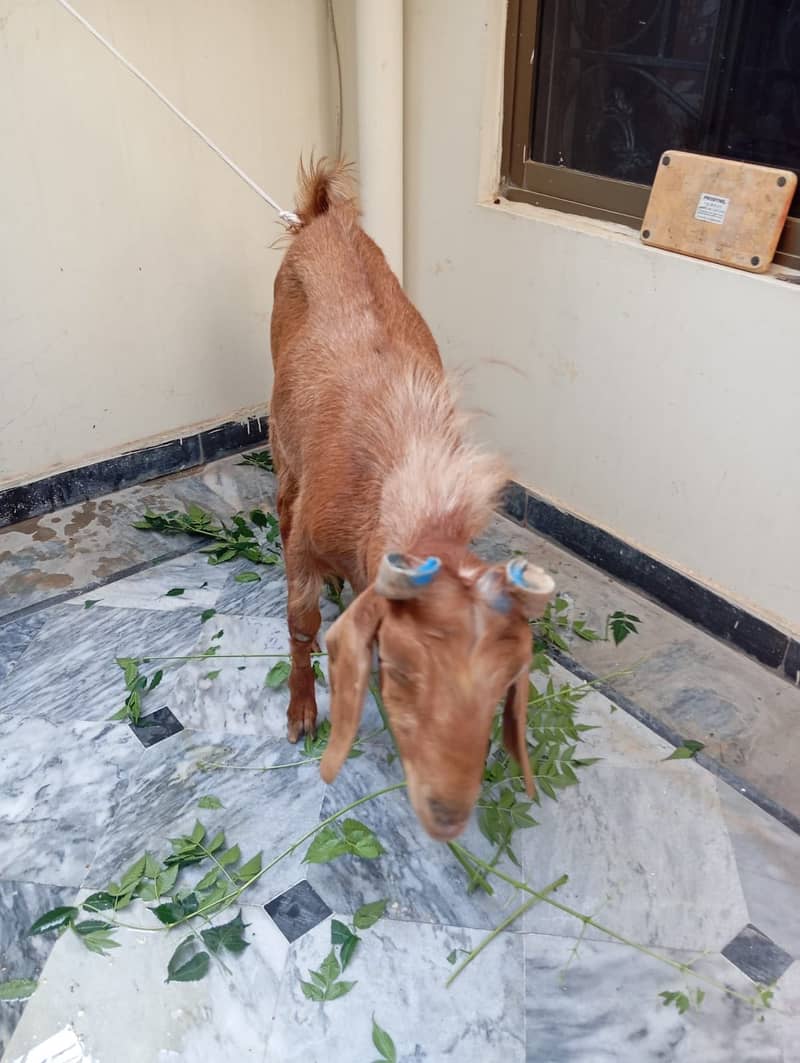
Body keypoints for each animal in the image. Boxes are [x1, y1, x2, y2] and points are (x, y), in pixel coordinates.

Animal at [269, 159, 555, 840]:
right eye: (404, 672)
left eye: (501, 687)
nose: (448, 813)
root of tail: (322, 218)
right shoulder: (307, 542)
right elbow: (301, 621)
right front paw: (301, 714)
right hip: (279, 438)